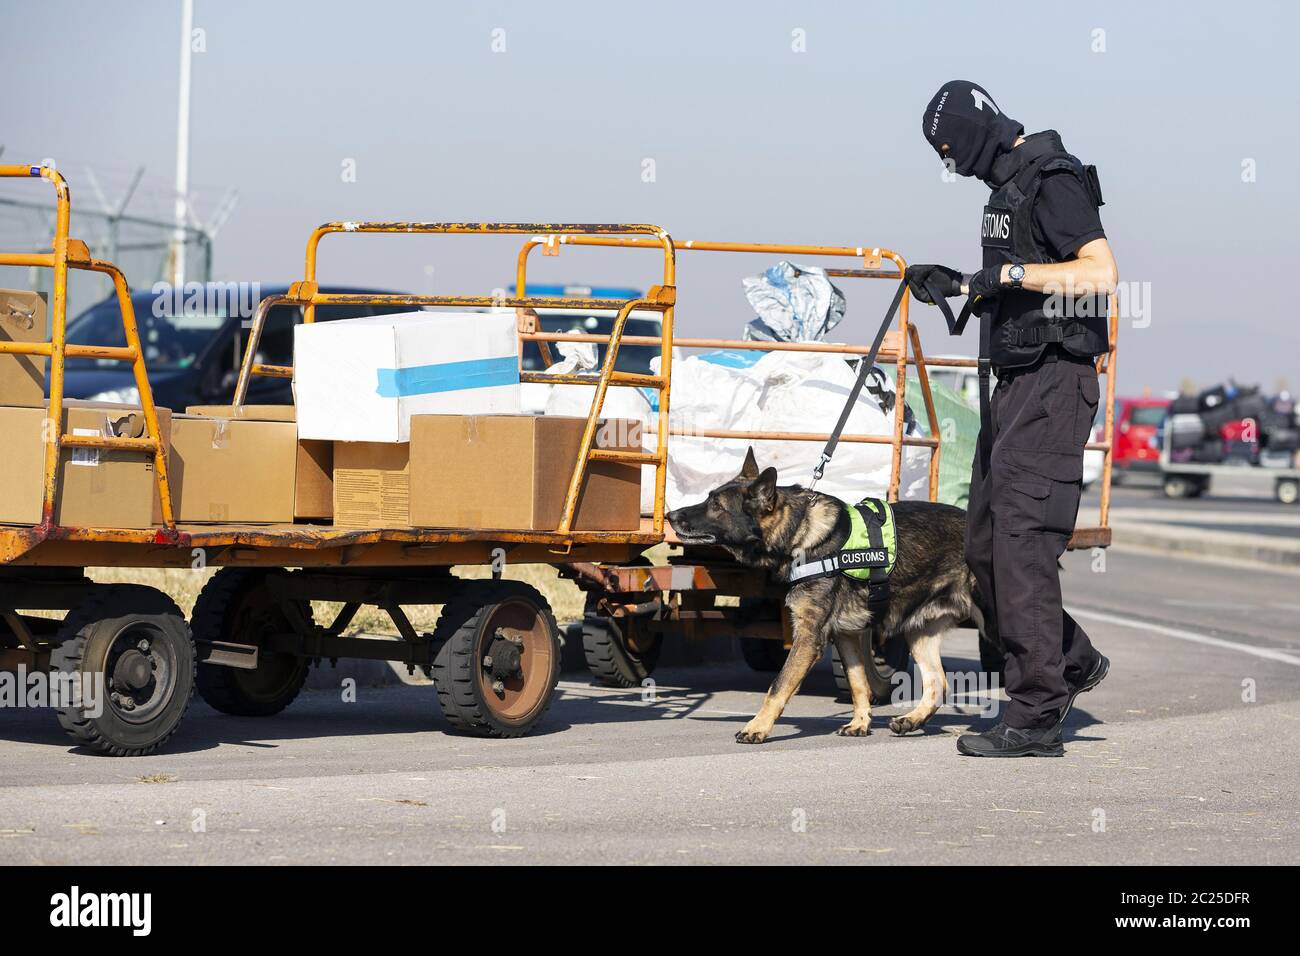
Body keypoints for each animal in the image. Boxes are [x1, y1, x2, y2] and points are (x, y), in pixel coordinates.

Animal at [665, 450, 987, 749]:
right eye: (709, 499)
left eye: (716, 506)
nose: (670, 516)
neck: (799, 532)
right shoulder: (845, 635)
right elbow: (858, 683)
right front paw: (860, 722)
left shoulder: (809, 637)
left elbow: (779, 685)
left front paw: (757, 727)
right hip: (920, 633)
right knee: (938, 684)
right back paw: (911, 720)